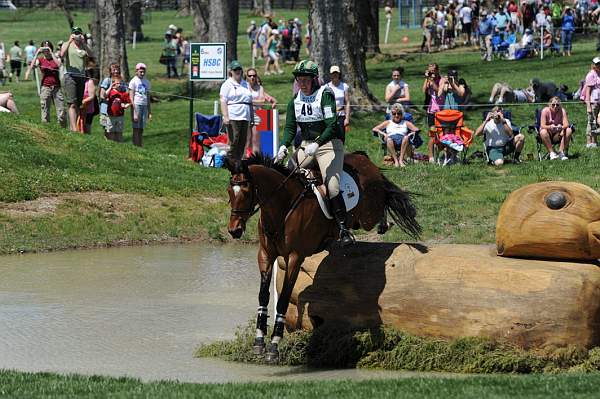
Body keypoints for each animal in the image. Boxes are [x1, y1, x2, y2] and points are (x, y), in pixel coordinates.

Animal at [225, 152, 422, 364]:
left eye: (246, 192)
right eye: (229, 192)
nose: (234, 230)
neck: (282, 208)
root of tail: (365, 159)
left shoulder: (295, 258)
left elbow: (284, 299)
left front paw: (274, 346)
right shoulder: (265, 255)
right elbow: (263, 296)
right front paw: (259, 341)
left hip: (369, 214)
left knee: (384, 200)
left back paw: (383, 225)